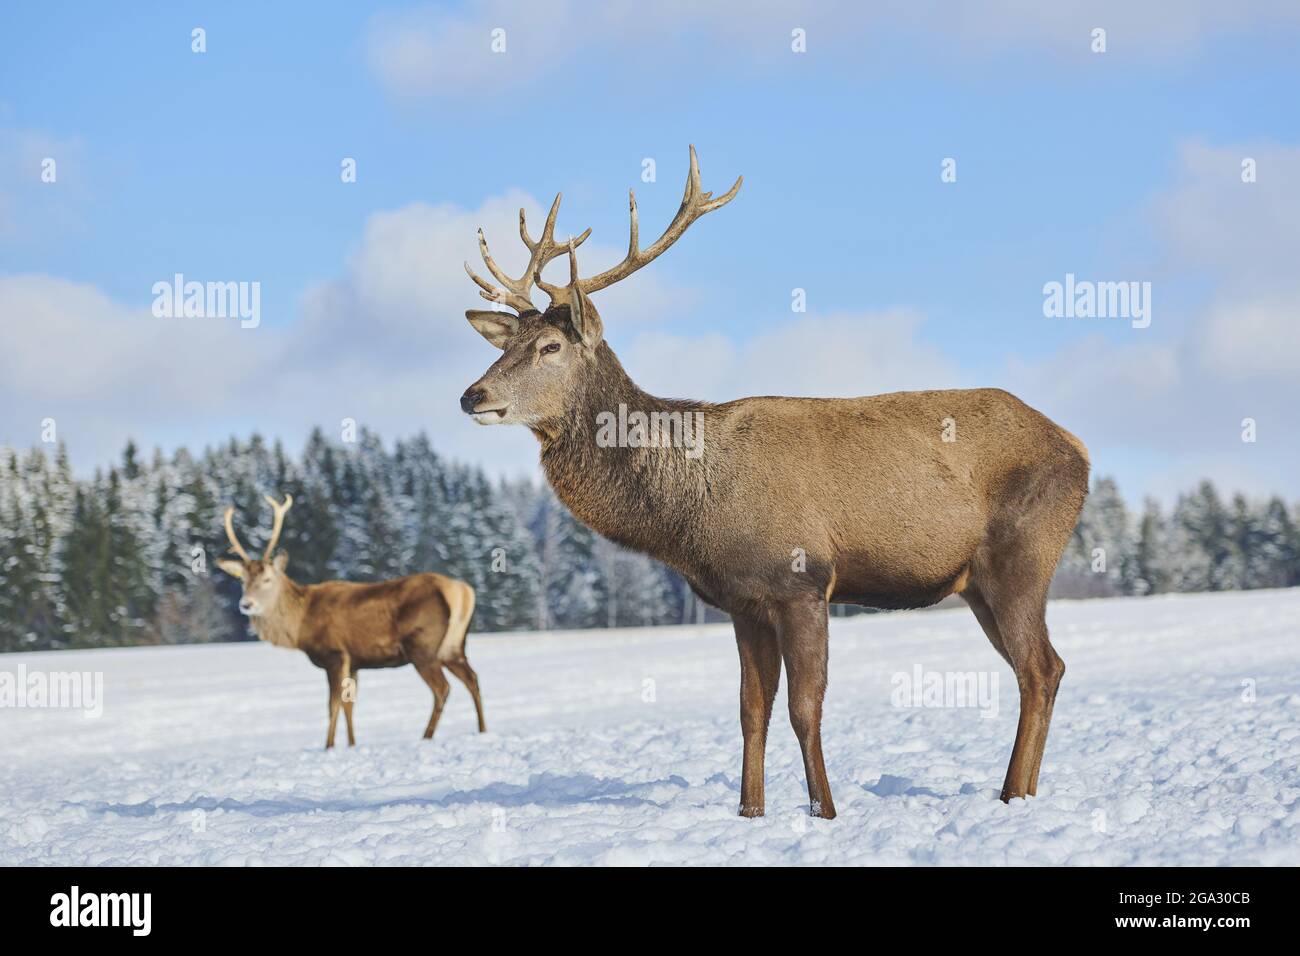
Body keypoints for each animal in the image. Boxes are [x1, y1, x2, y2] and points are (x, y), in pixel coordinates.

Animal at [215, 496, 486, 749]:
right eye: (242, 580)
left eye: (268, 579)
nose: (246, 604)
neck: (301, 625)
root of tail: (460, 590)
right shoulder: (354, 662)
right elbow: (350, 705)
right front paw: (352, 743)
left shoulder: (335, 654)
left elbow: (333, 703)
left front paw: (329, 745)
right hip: (452, 647)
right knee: (472, 678)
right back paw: (482, 729)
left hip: (422, 645)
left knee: (442, 688)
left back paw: (427, 736)